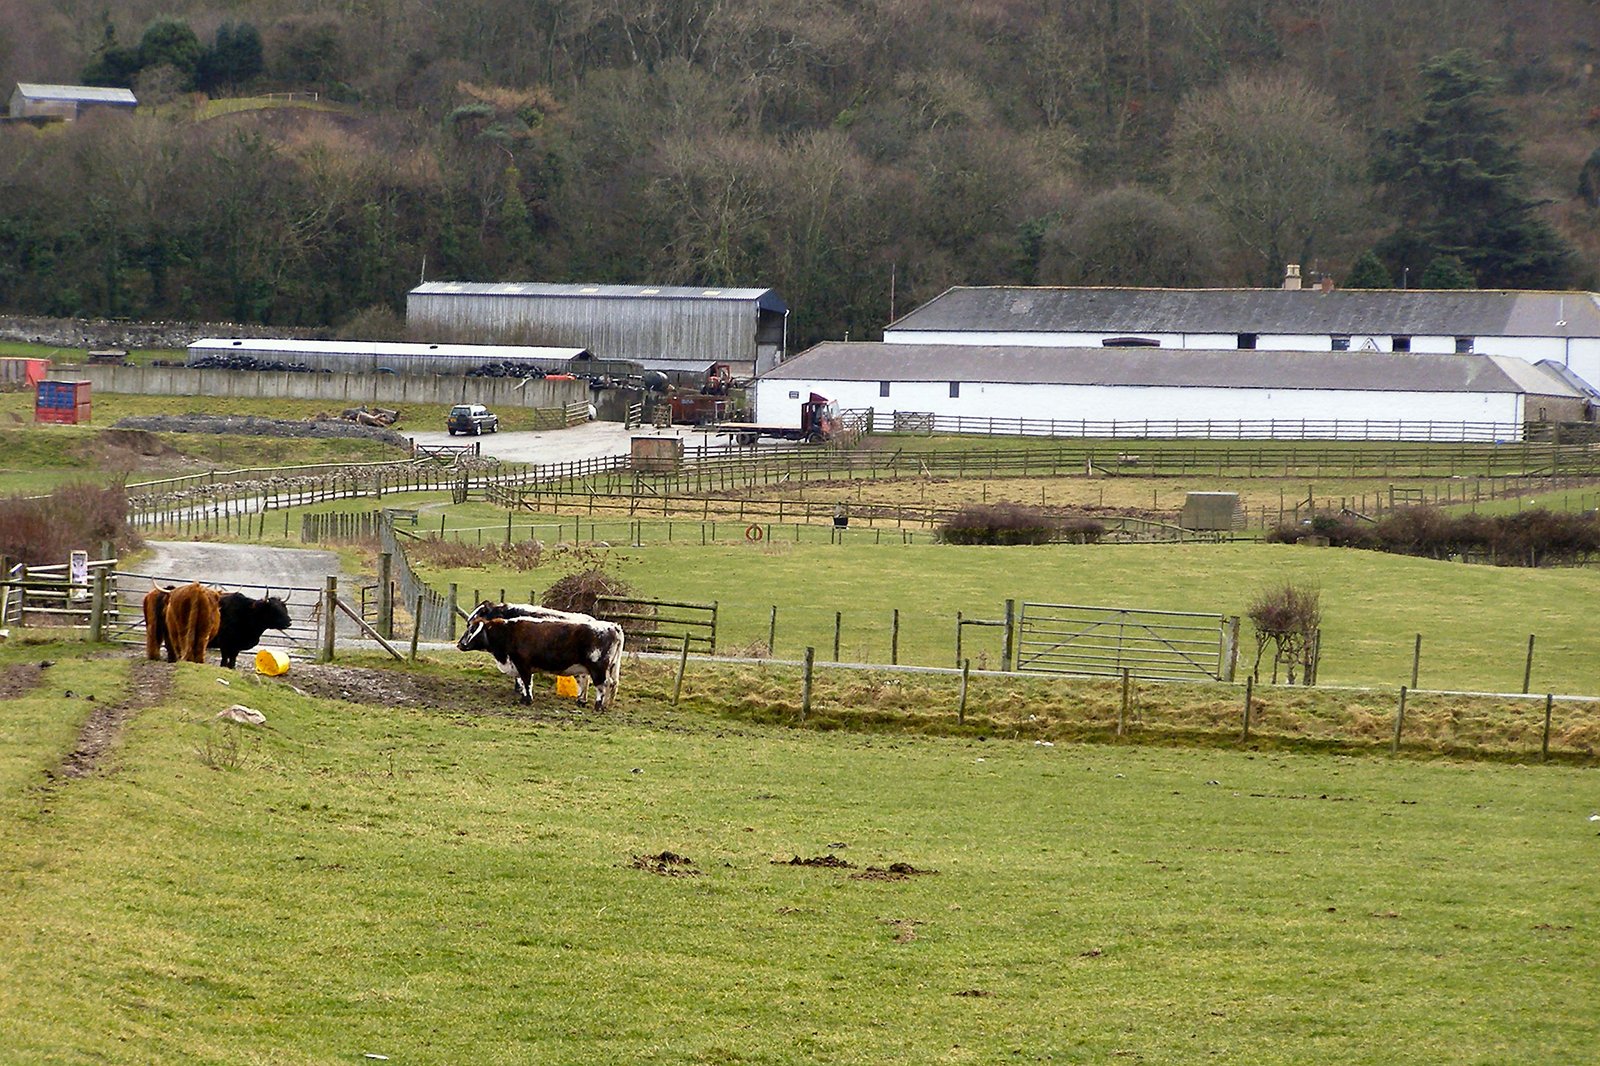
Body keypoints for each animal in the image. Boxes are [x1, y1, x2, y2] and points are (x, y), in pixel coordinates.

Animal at [457, 611, 624, 710]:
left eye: (472, 630)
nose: (459, 644)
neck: (508, 633)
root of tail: (612, 625)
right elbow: (523, 682)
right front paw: (524, 697)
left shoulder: (523, 664)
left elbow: (526, 682)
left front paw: (527, 700)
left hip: (598, 669)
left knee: (602, 685)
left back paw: (598, 705)